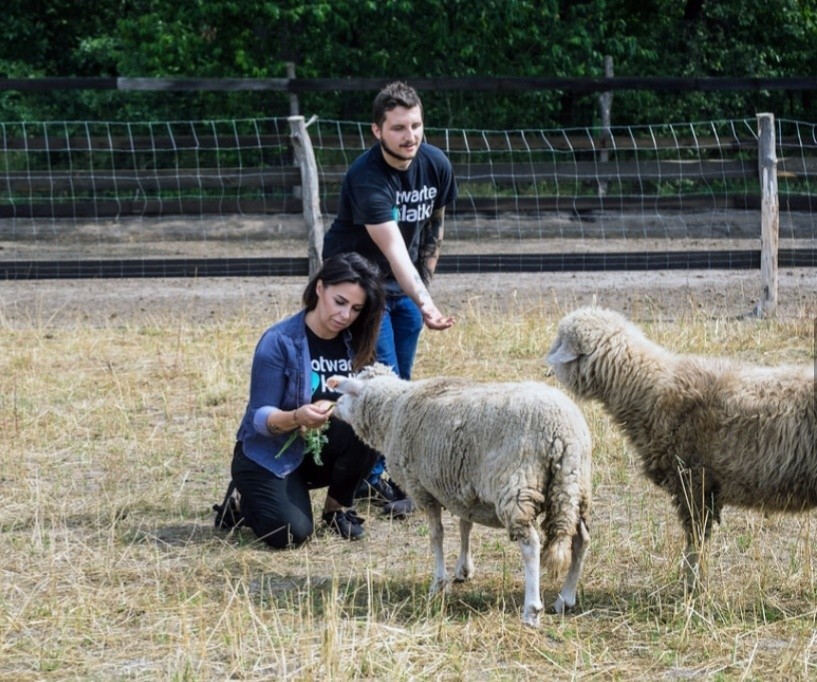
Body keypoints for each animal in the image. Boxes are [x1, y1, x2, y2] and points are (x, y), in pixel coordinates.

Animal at [326, 362, 592, 628]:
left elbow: (437, 535)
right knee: (581, 540)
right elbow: (466, 526)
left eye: (348, 390)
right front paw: (464, 569)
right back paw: (565, 598)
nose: (333, 407)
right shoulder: (461, 487)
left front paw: (438, 583)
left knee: (531, 545)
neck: (392, 411)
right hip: (573, 489)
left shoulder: (421, 489)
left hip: (518, 488)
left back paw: (532, 611)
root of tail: (564, 430)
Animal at [544, 306, 816, 588]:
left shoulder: (692, 482)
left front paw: (692, 583)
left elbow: (696, 540)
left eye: (560, 340)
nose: (546, 364)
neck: (649, 389)